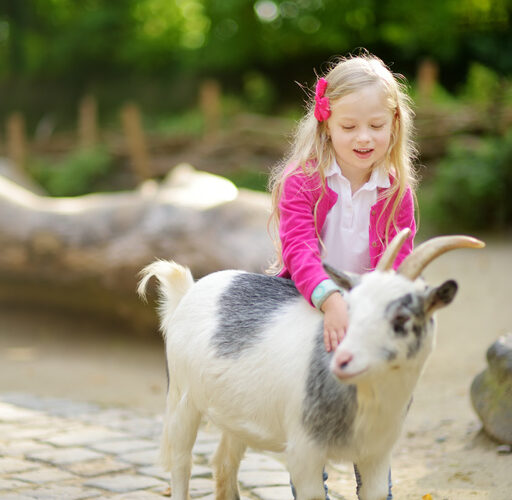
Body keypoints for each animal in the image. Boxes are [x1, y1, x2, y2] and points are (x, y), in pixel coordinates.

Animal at [139, 230, 484, 500]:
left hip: (235, 413)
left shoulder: (377, 455)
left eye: (401, 318)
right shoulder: (304, 454)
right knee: (181, 463)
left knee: (224, 462)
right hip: (182, 398)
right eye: (348, 308)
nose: (342, 360)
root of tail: (188, 291)